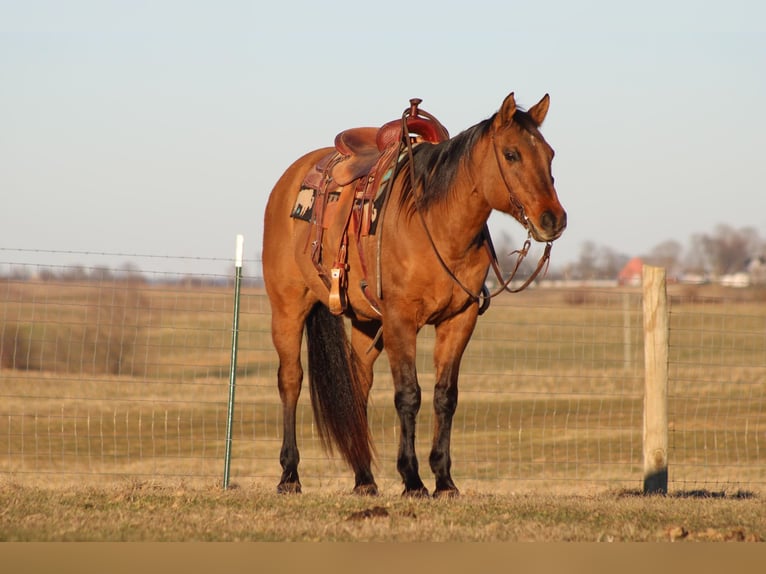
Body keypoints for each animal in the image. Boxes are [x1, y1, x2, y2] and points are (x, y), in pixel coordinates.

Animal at [264, 92, 568, 498]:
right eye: (511, 154)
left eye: (549, 154)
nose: (554, 219)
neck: (437, 226)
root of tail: (290, 179)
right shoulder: (400, 321)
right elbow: (408, 395)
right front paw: (412, 479)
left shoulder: (458, 321)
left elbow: (445, 396)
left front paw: (444, 480)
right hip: (287, 309)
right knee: (291, 381)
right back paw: (289, 475)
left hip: (365, 323)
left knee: (358, 386)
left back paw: (364, 478)